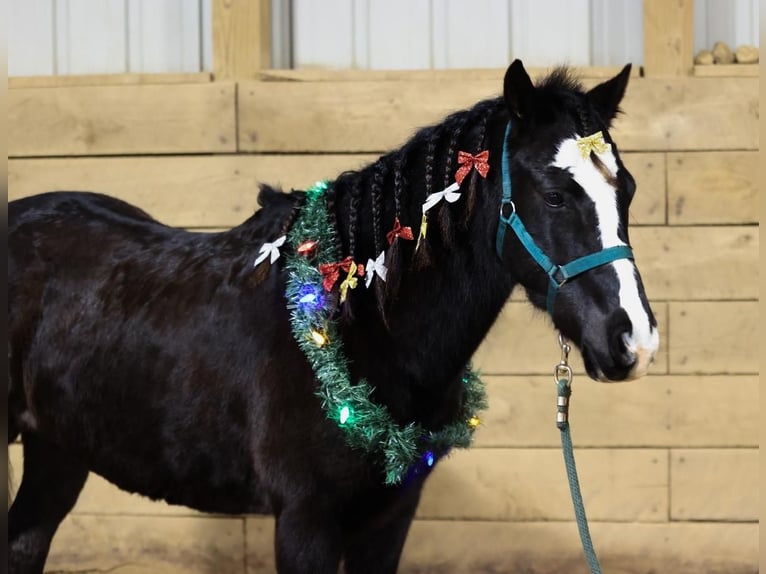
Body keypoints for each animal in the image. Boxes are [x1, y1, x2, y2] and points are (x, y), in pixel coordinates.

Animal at [8, 60, 659, 574]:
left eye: (626, 190)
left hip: (57, 452)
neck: (356, 329)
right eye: (553, 194)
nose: (634, 340)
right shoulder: (305, 523)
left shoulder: (389, 520)